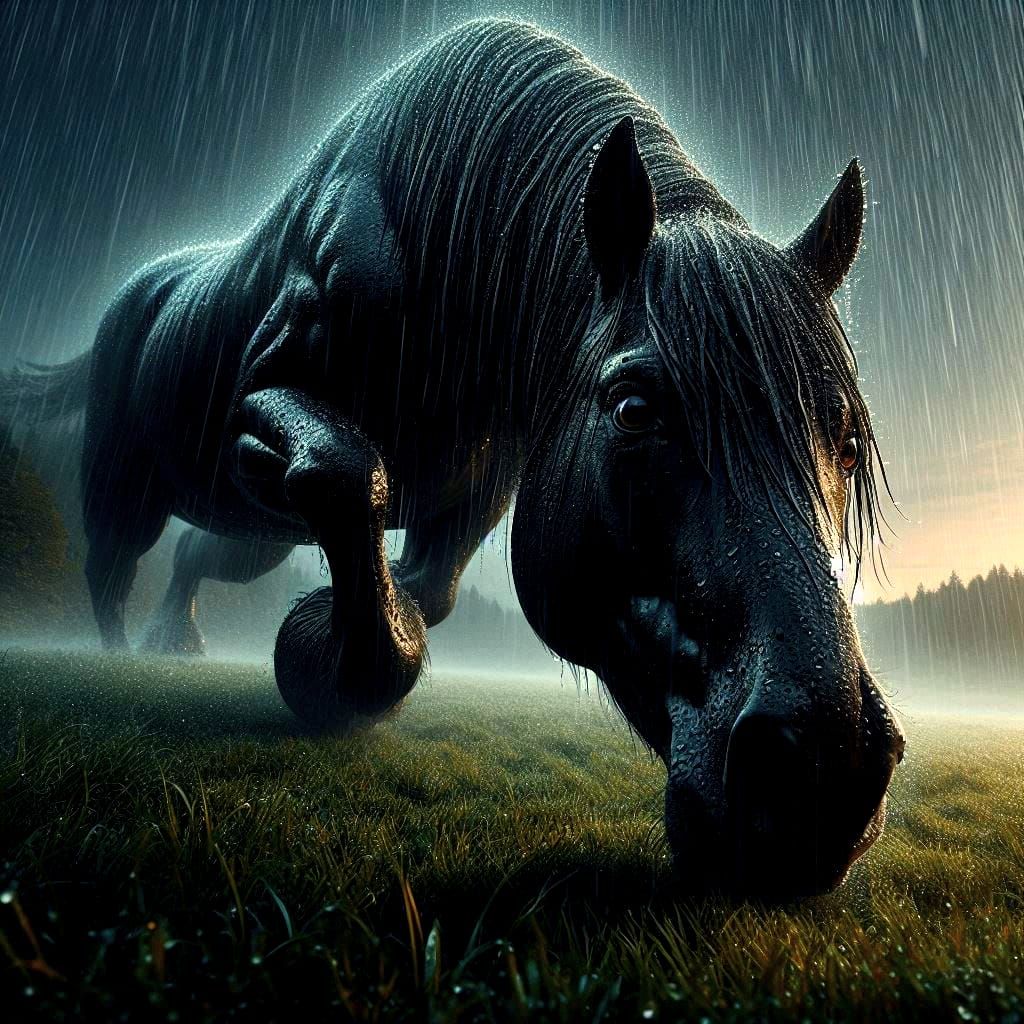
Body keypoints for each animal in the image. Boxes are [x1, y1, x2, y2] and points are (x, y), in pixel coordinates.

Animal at [3, 18, 904, 898]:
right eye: (634, 409)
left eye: (847, 442)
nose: (828, 774)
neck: (451, 252)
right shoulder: (259, 407)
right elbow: (344, 474)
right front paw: (322, 659)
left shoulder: (482, 487)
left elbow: (427, 587)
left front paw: (353, 628)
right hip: (128, 494)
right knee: (111, 570)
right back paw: (123, 661)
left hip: (253, 536)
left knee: (193, 557)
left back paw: (176, 644)